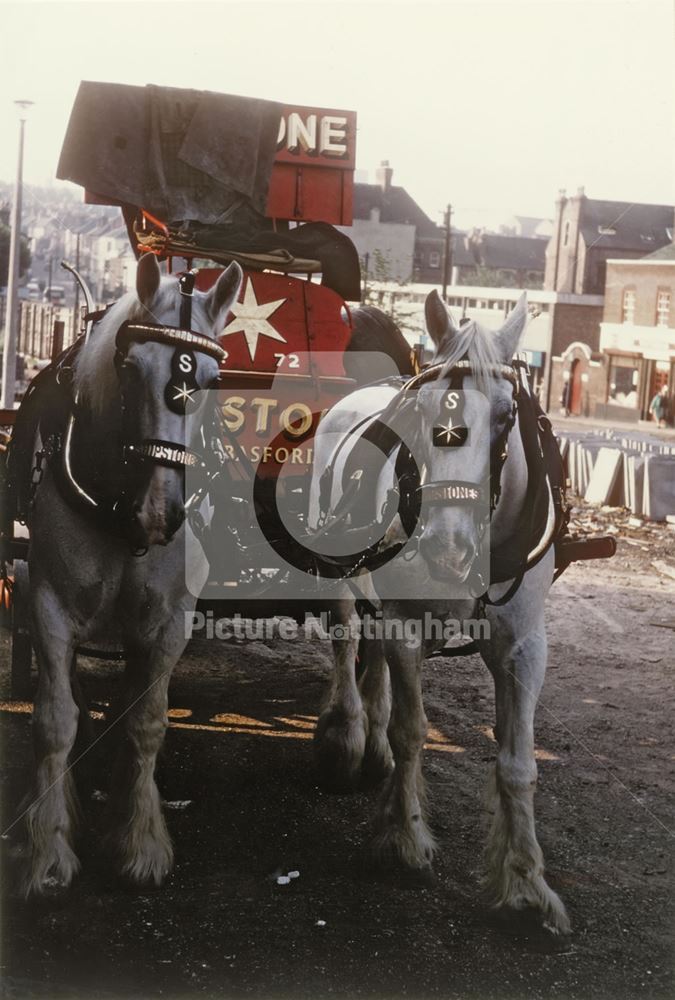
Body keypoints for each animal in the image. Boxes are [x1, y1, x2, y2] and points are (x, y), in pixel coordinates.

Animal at [19, 254, 244, 896]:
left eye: (212, 379)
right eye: (128, 367)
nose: (161, 512)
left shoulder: (170, 619)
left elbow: (145, 722)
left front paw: (139, 839)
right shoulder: (47, 601)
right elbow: (55, 720)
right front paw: (49, 848)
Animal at [310, 292, 572, 936]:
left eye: (506, 416)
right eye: (423, 410)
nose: (446, 546)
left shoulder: (524, 645)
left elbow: (518, 762)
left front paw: (526, 882)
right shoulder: (406, 622)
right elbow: (411, 731)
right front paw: (403, 842)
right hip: (339, 568)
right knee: (348, 635)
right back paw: (348, 733)